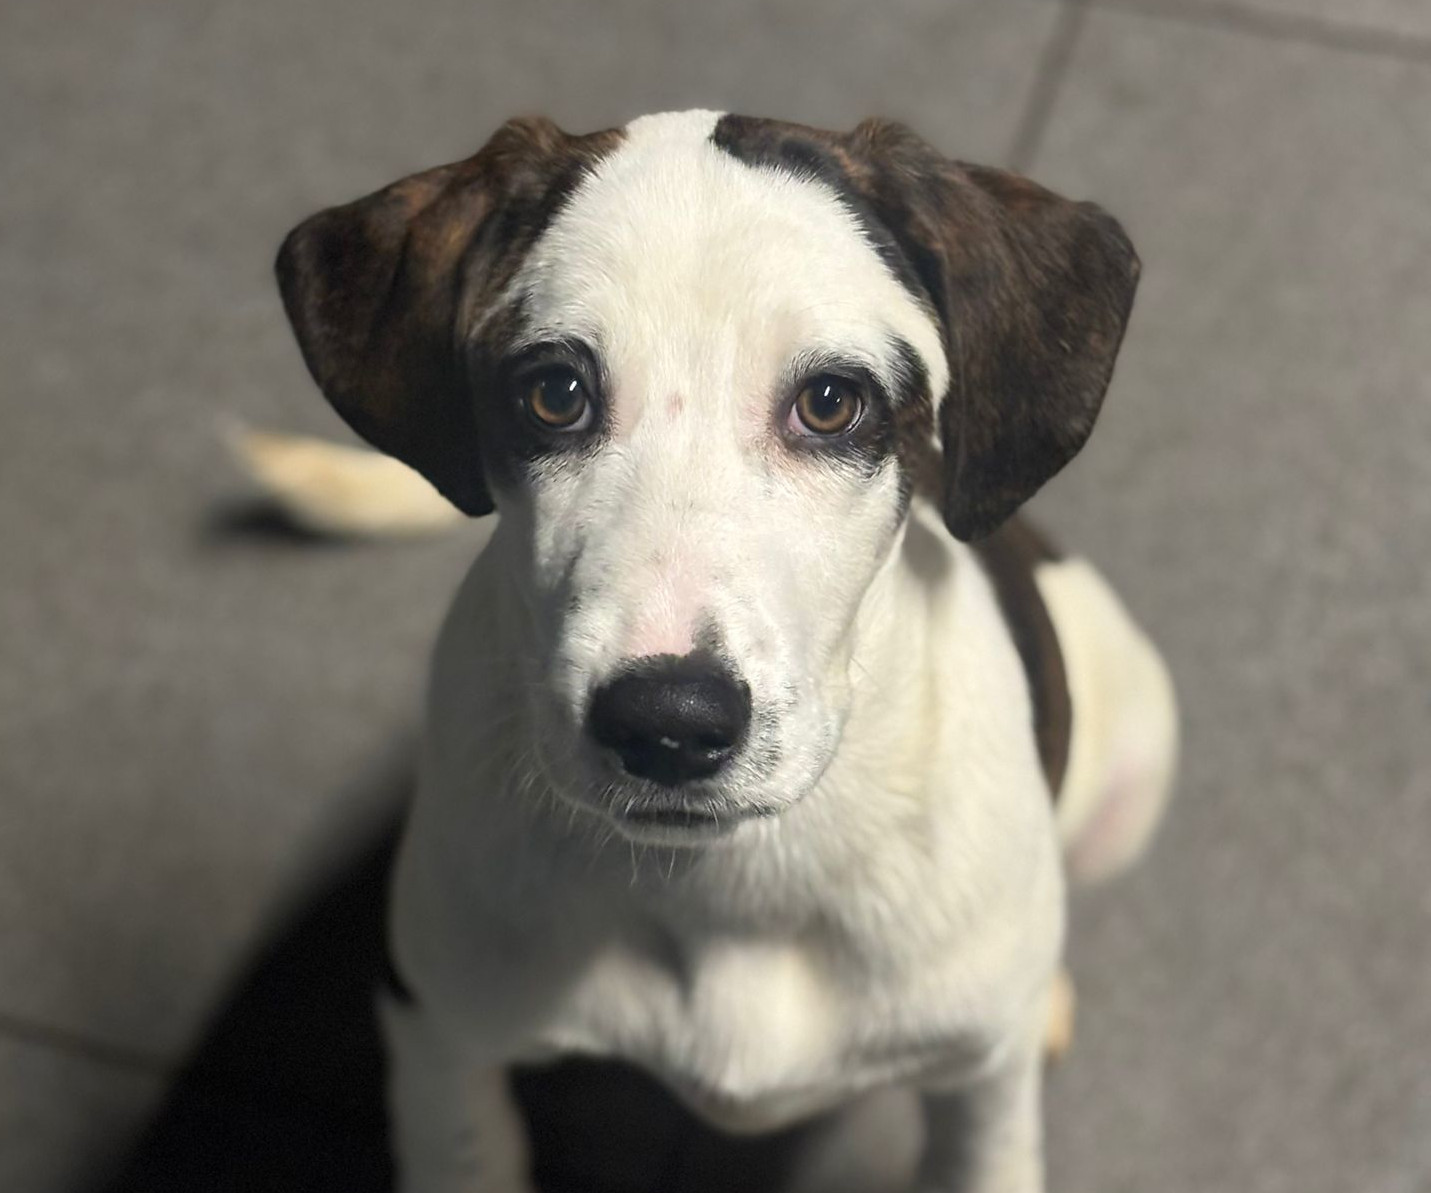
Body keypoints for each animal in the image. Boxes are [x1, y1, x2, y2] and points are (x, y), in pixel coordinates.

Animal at [252, 109, 1178, 1193]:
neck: (733, 881)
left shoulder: (982, 1104)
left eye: (831, 402)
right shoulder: (436, 1030)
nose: (668, 721)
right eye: (554, 393)